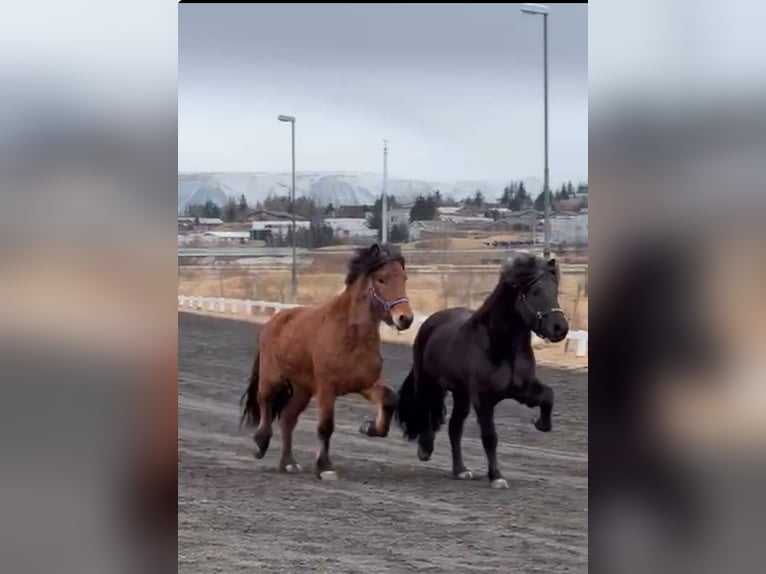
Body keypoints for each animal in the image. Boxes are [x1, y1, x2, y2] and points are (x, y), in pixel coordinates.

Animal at [240, 243, 414, 480]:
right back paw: (261, 443)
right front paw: (325, 467)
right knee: (265, 403)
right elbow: (325, 426)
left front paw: (368, 427)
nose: (405, 318)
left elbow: (388, 398)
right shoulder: (326, 388)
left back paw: (288, 463)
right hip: (272, 378)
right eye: (381, 279)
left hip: (303, 389)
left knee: (287, 418)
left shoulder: (364, 384)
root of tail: (275, 320)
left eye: (404, 278)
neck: (349, 337)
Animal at [396, 254, 569, 488]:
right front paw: (497, 477)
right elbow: (490, 437)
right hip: (428, 382)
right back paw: (425, 449)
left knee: (454, 428)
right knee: (427, 410)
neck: (500, 346)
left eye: (555, 289)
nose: (560, 328)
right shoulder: (483, 398)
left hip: (461, 395)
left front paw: (541, 424)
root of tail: (432, 321)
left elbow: (548, 396)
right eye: (536, 291)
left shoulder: (522, 390)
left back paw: (460, 470)